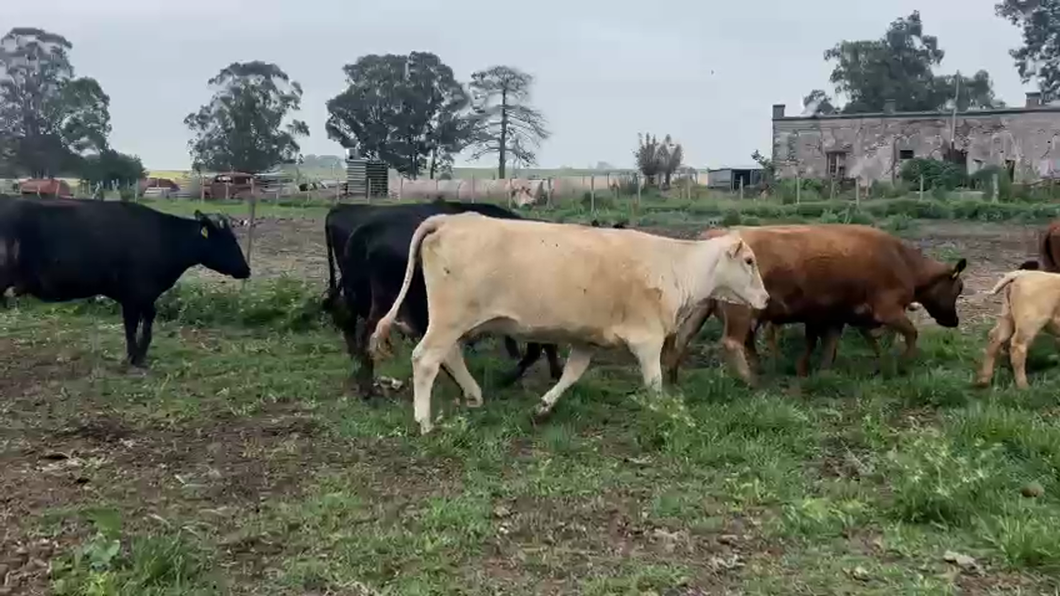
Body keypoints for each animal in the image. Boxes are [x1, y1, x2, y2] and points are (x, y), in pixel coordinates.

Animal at [1, 199, 251, 364]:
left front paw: (136, 354)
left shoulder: (138, 296)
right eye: (228, 241)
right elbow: (134, 323)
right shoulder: (137, 294)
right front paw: (135, 356)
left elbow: (140, 321)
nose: (246, 270)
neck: (165, 238)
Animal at [328, 199, 572, 394]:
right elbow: (536, 347)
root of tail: (370, 228)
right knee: (371, 332)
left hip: (362, 291)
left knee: (354, 323)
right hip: (389, 298)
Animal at [368, 212, 767, 430]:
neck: (674, 265)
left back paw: (474, 395)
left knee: (448, 356)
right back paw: (424, 421)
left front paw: (543, 407)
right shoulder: (647, 339)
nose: (764, 299)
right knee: (426, 359)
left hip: (456, 322)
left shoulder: (587, 339)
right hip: (450, 318)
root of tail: (450, 219)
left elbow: (571, 374)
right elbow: (654, 384)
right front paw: (669, 415)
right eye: (749, 261)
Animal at [661, 223, 970, 386]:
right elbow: (911, 333)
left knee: (684, 335)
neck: (902, 260)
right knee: (732, 342)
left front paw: (820, 371)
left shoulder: (836, 315)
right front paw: (904, 363)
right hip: (741, 310)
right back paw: (752, 382)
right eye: (959, 288)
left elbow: (829, 344)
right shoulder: (887, 309)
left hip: (704, 306)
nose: (954, 321)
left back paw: (673, 376)